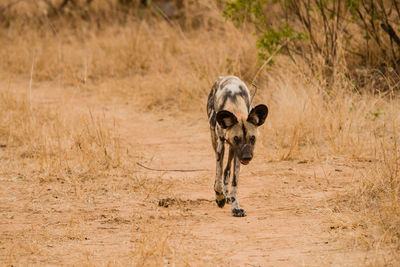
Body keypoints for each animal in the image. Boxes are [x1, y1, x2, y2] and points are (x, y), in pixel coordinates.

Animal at [206, 75, 268, 218]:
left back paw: (227, 195)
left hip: (233, 151)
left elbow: (234, 182)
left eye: (252, 138)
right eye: (236, 138)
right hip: (217, 142)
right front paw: (220, 198)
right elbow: (218, 178)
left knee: (227, 170)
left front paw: (235, 207)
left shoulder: (237, 157)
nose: (247, 157)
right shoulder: (221, 146)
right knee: (221, 171)